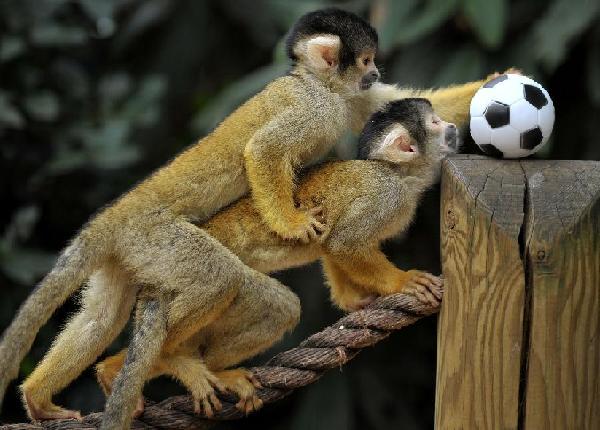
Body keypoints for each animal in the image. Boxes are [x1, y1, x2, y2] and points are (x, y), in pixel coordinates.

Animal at [97, 96, 454, 420]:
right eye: (435, 123)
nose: (451, 128)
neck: (399, 174)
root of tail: (155, 279)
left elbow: (329, 245)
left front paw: (353, 300)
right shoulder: (387, 197)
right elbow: (345, 242)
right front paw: (402, 281)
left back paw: (118, 369)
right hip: (206, 277)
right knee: (276, 305)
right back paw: (177, 362)